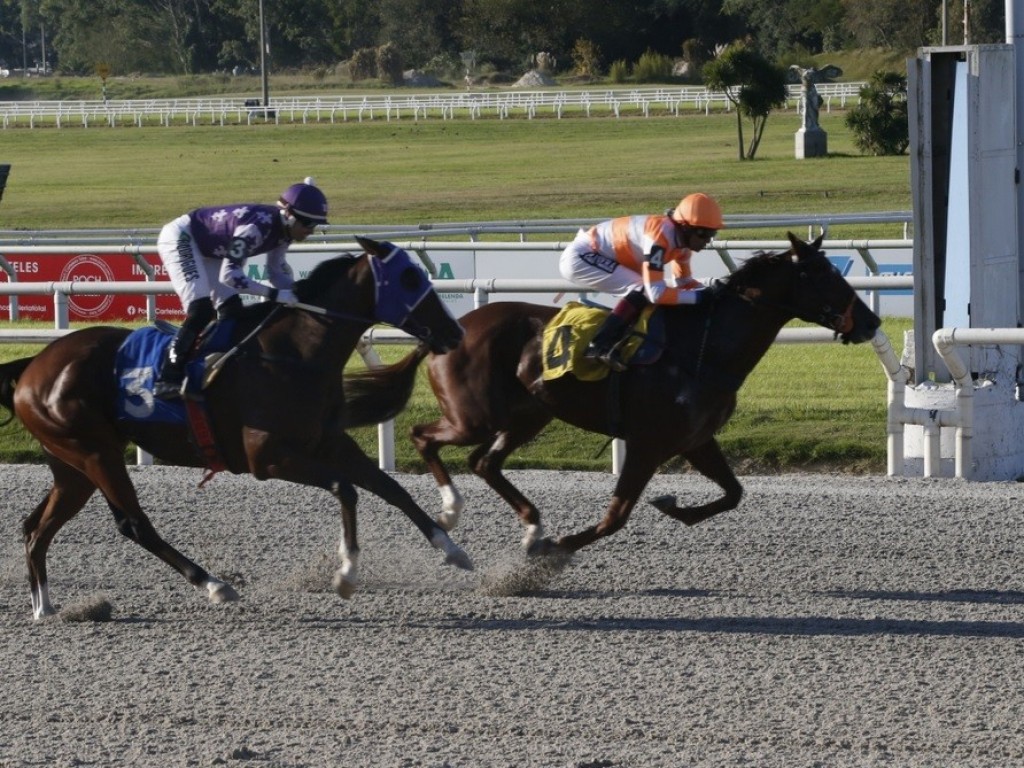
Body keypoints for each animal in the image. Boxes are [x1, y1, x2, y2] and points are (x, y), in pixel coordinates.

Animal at [0, 237, 468, 622]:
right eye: (409, 278)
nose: (455, 331)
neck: (293, 352)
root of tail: (32, 367)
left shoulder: (329, 440)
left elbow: (391, 487)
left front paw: (452, 547)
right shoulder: (266, 457)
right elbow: (346, 488)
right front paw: (346, 574)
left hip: (72, 463)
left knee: (35, 527)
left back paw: (45, 606)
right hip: (95, 452)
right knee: (133, 524)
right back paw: (213, 584)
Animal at [407, 233, 880, 561]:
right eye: (825, 275)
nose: (871, 321)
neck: (701, 347)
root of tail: (453, 328)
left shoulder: (695, 439)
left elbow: (733, 493)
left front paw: (675, 507)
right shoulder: (647, 443)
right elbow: (616, 516)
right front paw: (558, 548)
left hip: (528, 414)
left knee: (484, 462)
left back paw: (530, 526)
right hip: (475, 416)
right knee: (423, 436)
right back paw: (451, 511)